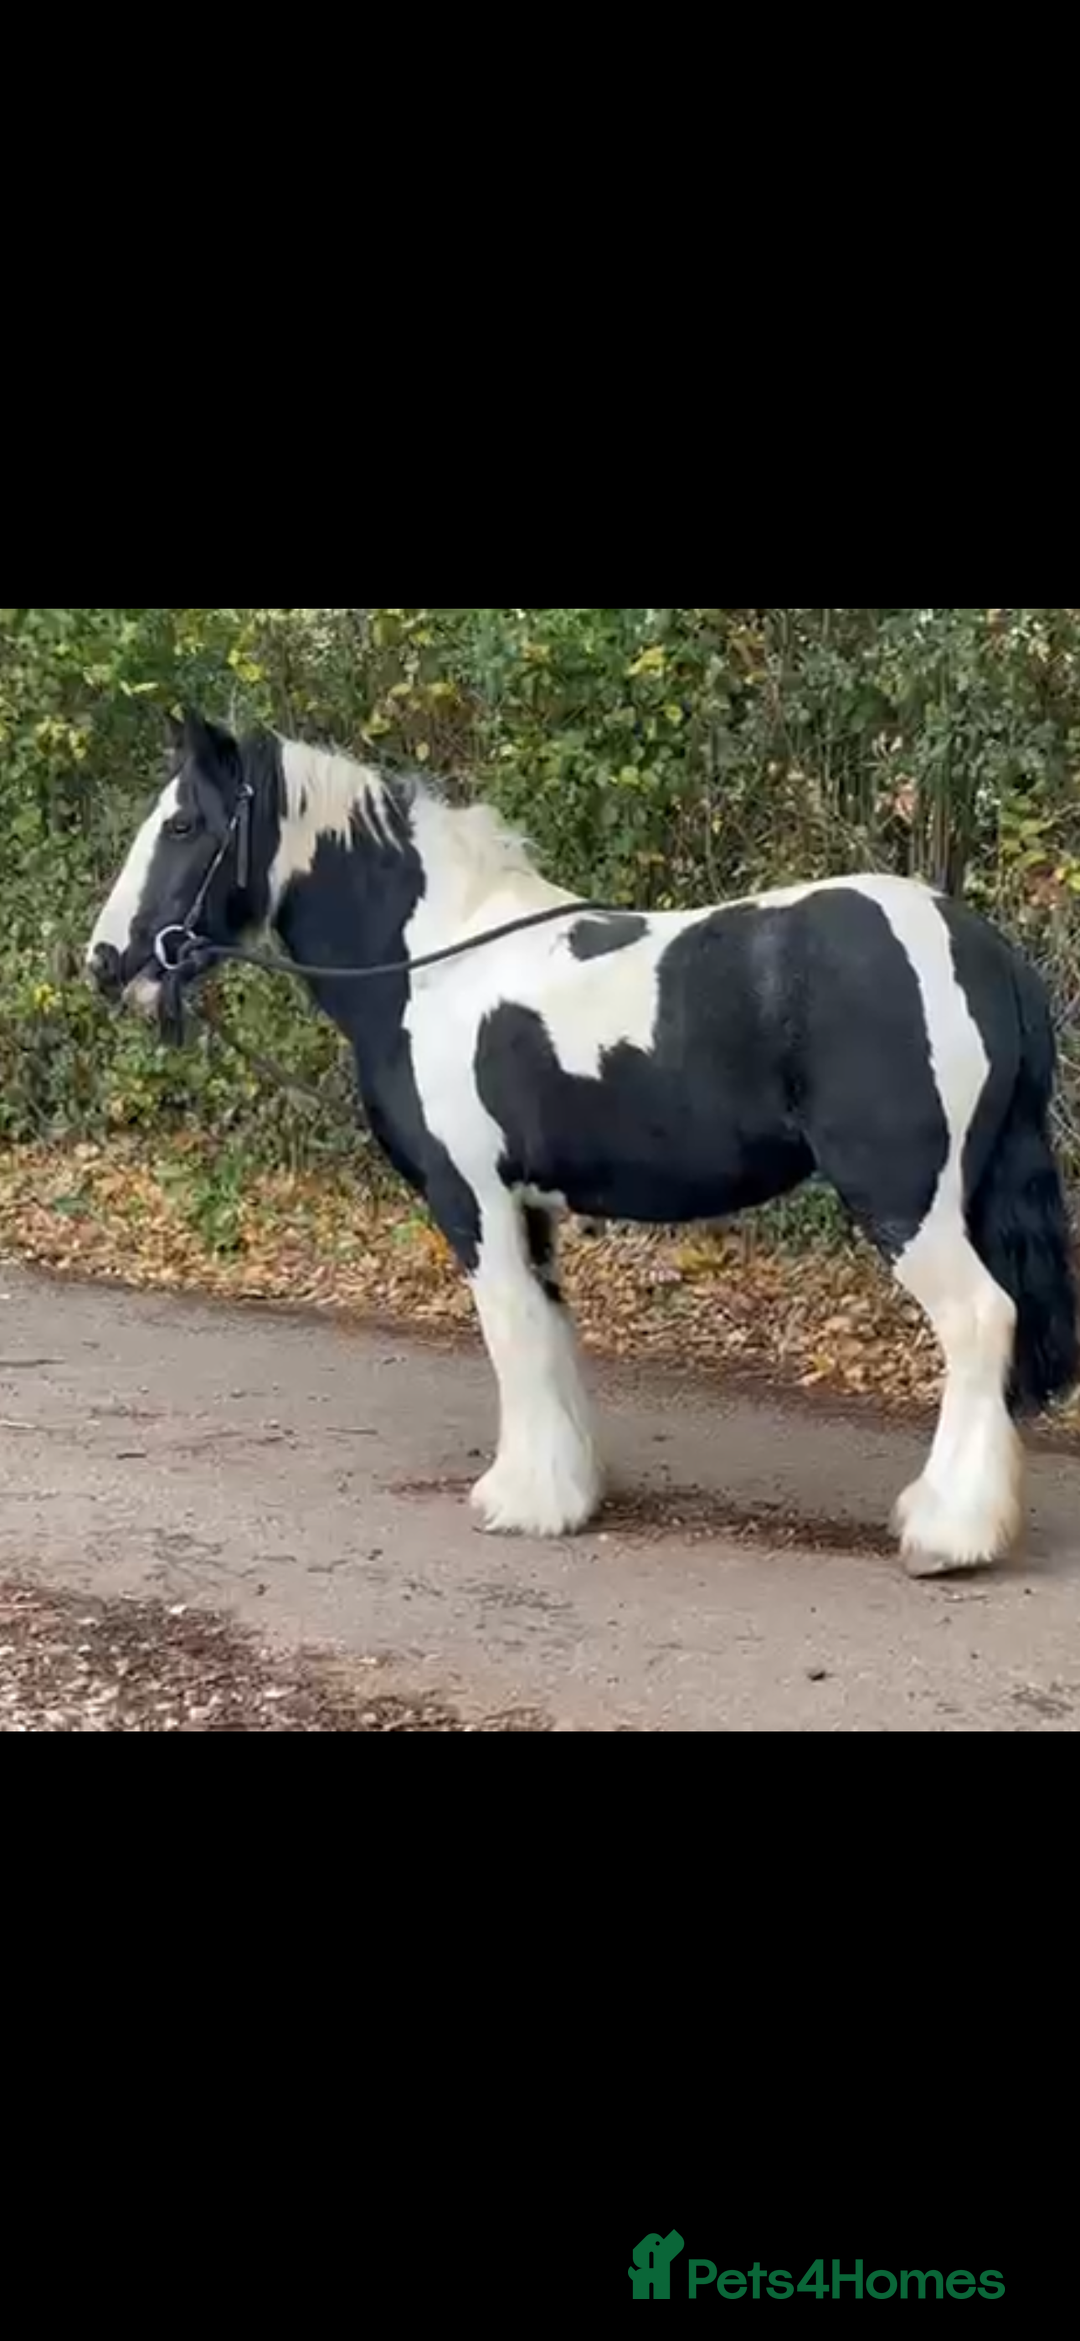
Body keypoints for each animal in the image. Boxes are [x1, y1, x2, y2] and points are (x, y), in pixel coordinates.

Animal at [87, 709, 1078, 1575]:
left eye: (182, 822)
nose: (106, 961)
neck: (433, 963)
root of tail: (981, 946)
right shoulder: (528, 1207)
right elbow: (550, 1332)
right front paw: (566, 1489)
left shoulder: (472, 1198)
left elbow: (511, 1333)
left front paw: (522, 1501)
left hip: (908, 1203)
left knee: (980, 1320)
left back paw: (948, 1535)